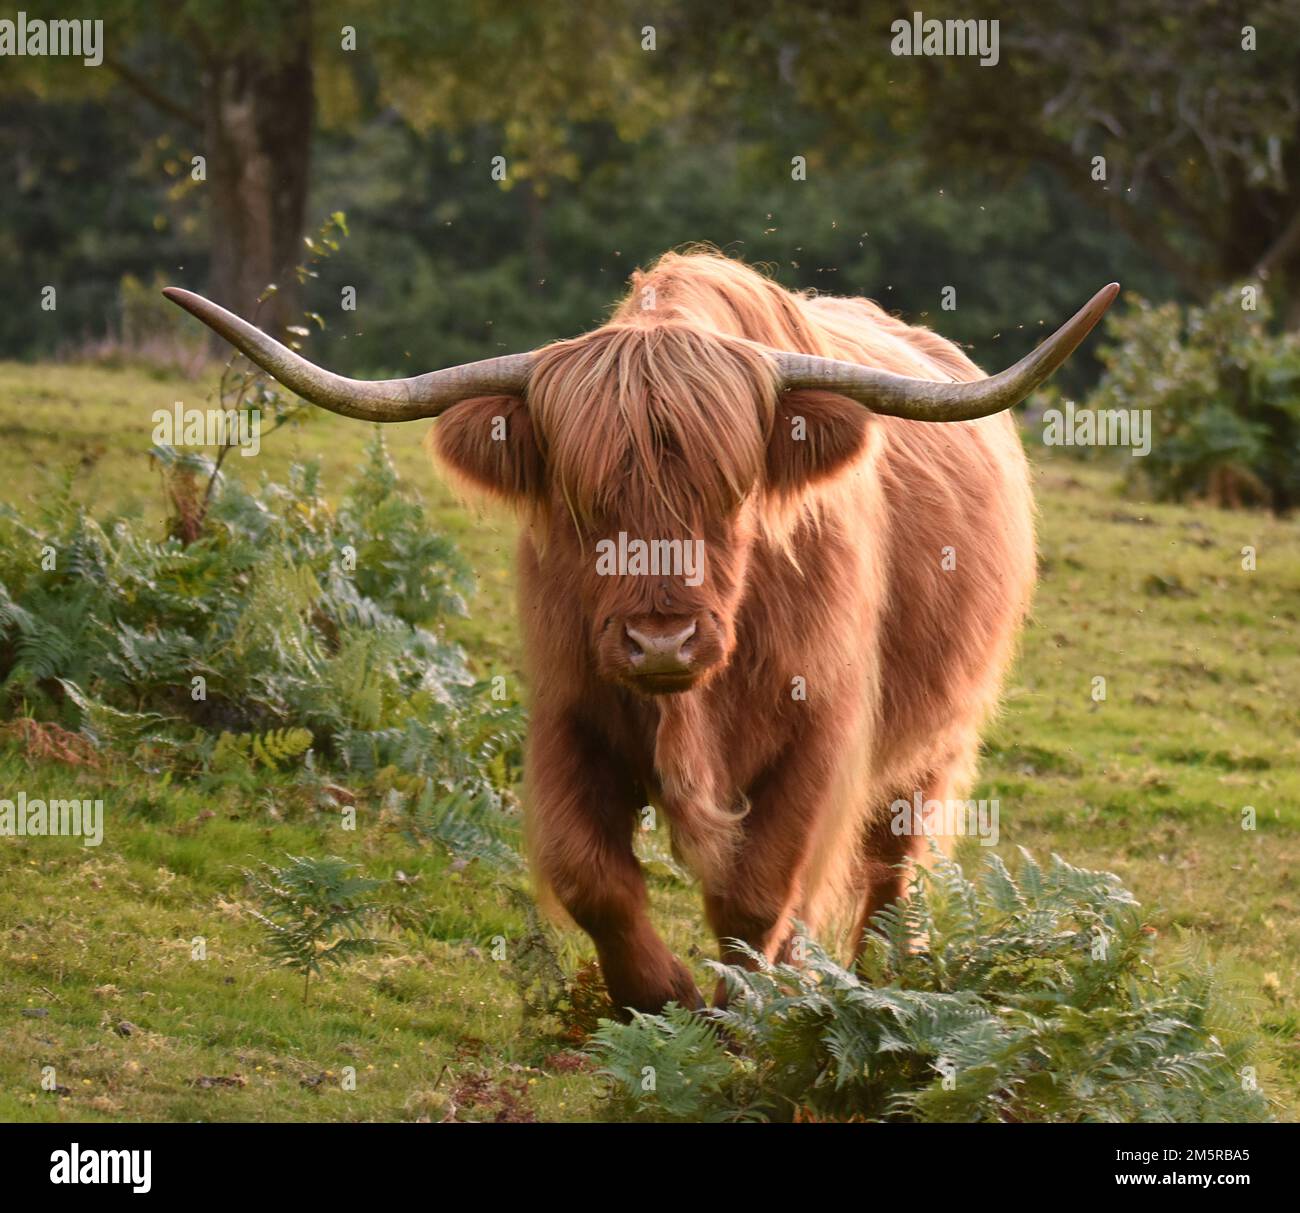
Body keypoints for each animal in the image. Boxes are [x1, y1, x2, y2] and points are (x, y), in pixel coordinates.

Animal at [165, 252, 1117, 1014]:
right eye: (584, 502)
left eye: (731, 495)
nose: (662, 643)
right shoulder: (566, 711)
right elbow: (590, 874)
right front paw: (660, 997)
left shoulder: (822, 732)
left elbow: (757, 891)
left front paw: (742, 1015)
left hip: (936, 739)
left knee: (893, 864)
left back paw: (880, 977)